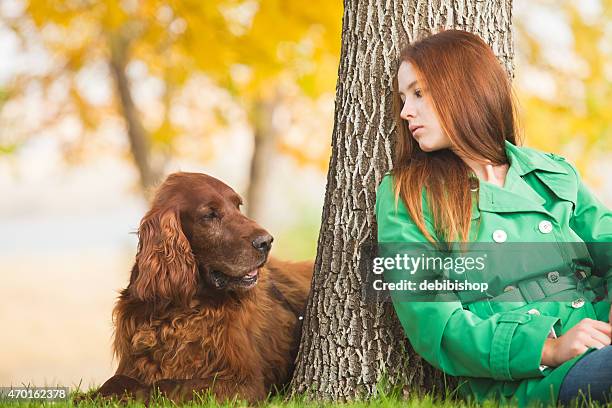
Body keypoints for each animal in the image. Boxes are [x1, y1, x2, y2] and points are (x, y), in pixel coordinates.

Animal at [93, 171, 314, 402]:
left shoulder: (244, 384)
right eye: (210, 215)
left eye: (238, 206)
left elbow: (167, 385)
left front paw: (139, 394)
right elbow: (114, 381)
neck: (181, 308)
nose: (266, 242)